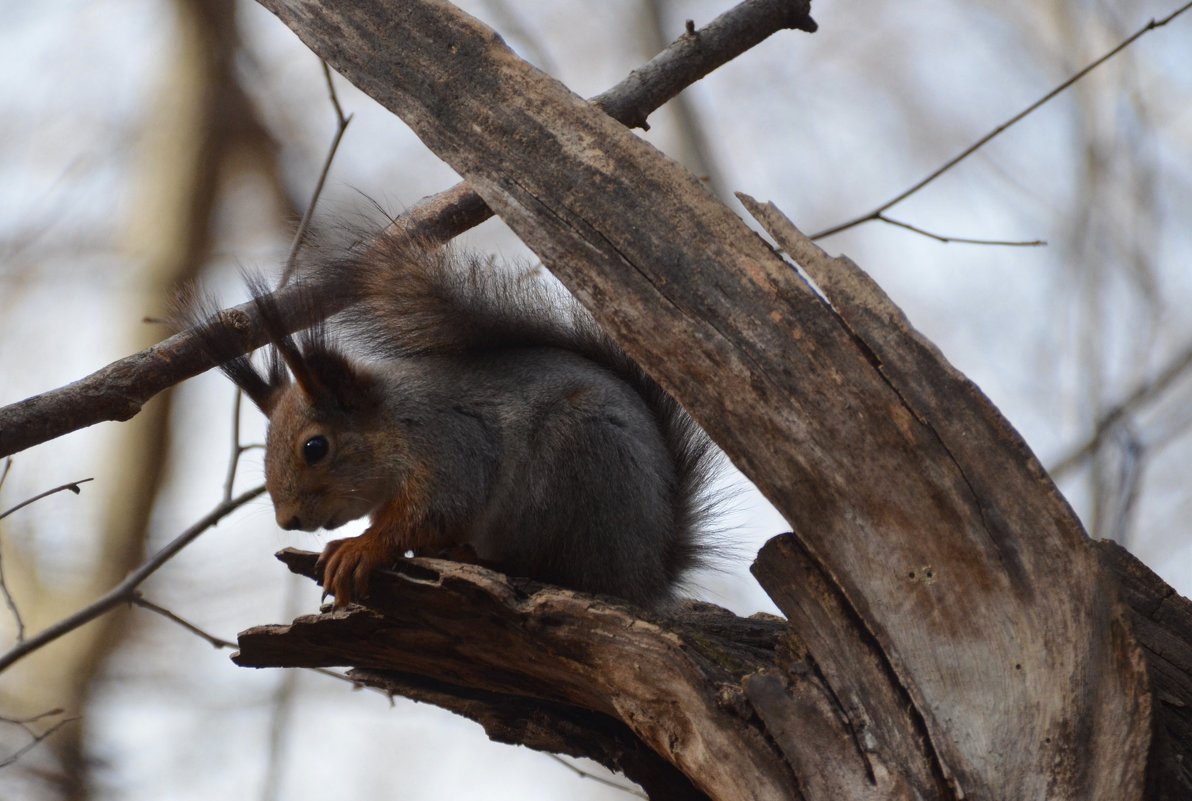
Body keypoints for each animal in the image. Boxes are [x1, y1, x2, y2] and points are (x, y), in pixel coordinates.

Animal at [190, 234, 715, 610]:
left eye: (314, 447)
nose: (288, 521)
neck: (394, 419)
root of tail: (649, 574)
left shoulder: (450, 443)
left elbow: (433, 512)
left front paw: (360, 547)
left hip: (570, 467)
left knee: (559, 570)